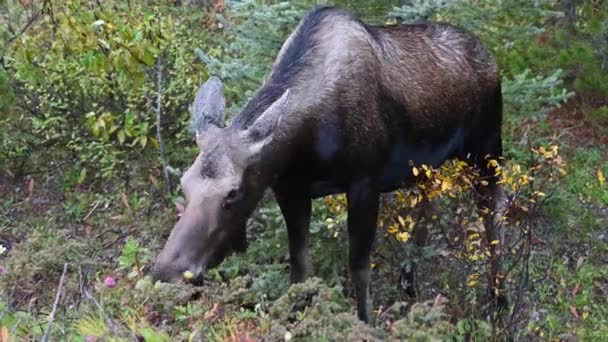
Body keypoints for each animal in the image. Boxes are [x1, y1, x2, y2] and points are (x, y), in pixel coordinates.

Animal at [151, 6, 504, 324]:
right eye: (184, 184)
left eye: (232, 193)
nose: (168, 271)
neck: (305, 145)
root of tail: (490, 56)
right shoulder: (290, 190)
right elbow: (299, 268)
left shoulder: (364, 182)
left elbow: (358, 268)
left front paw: (366, 323)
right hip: (427, 168)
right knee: (427, 207)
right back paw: (410, 287)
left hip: (487, 150)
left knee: (493, 217)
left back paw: (497, 303)